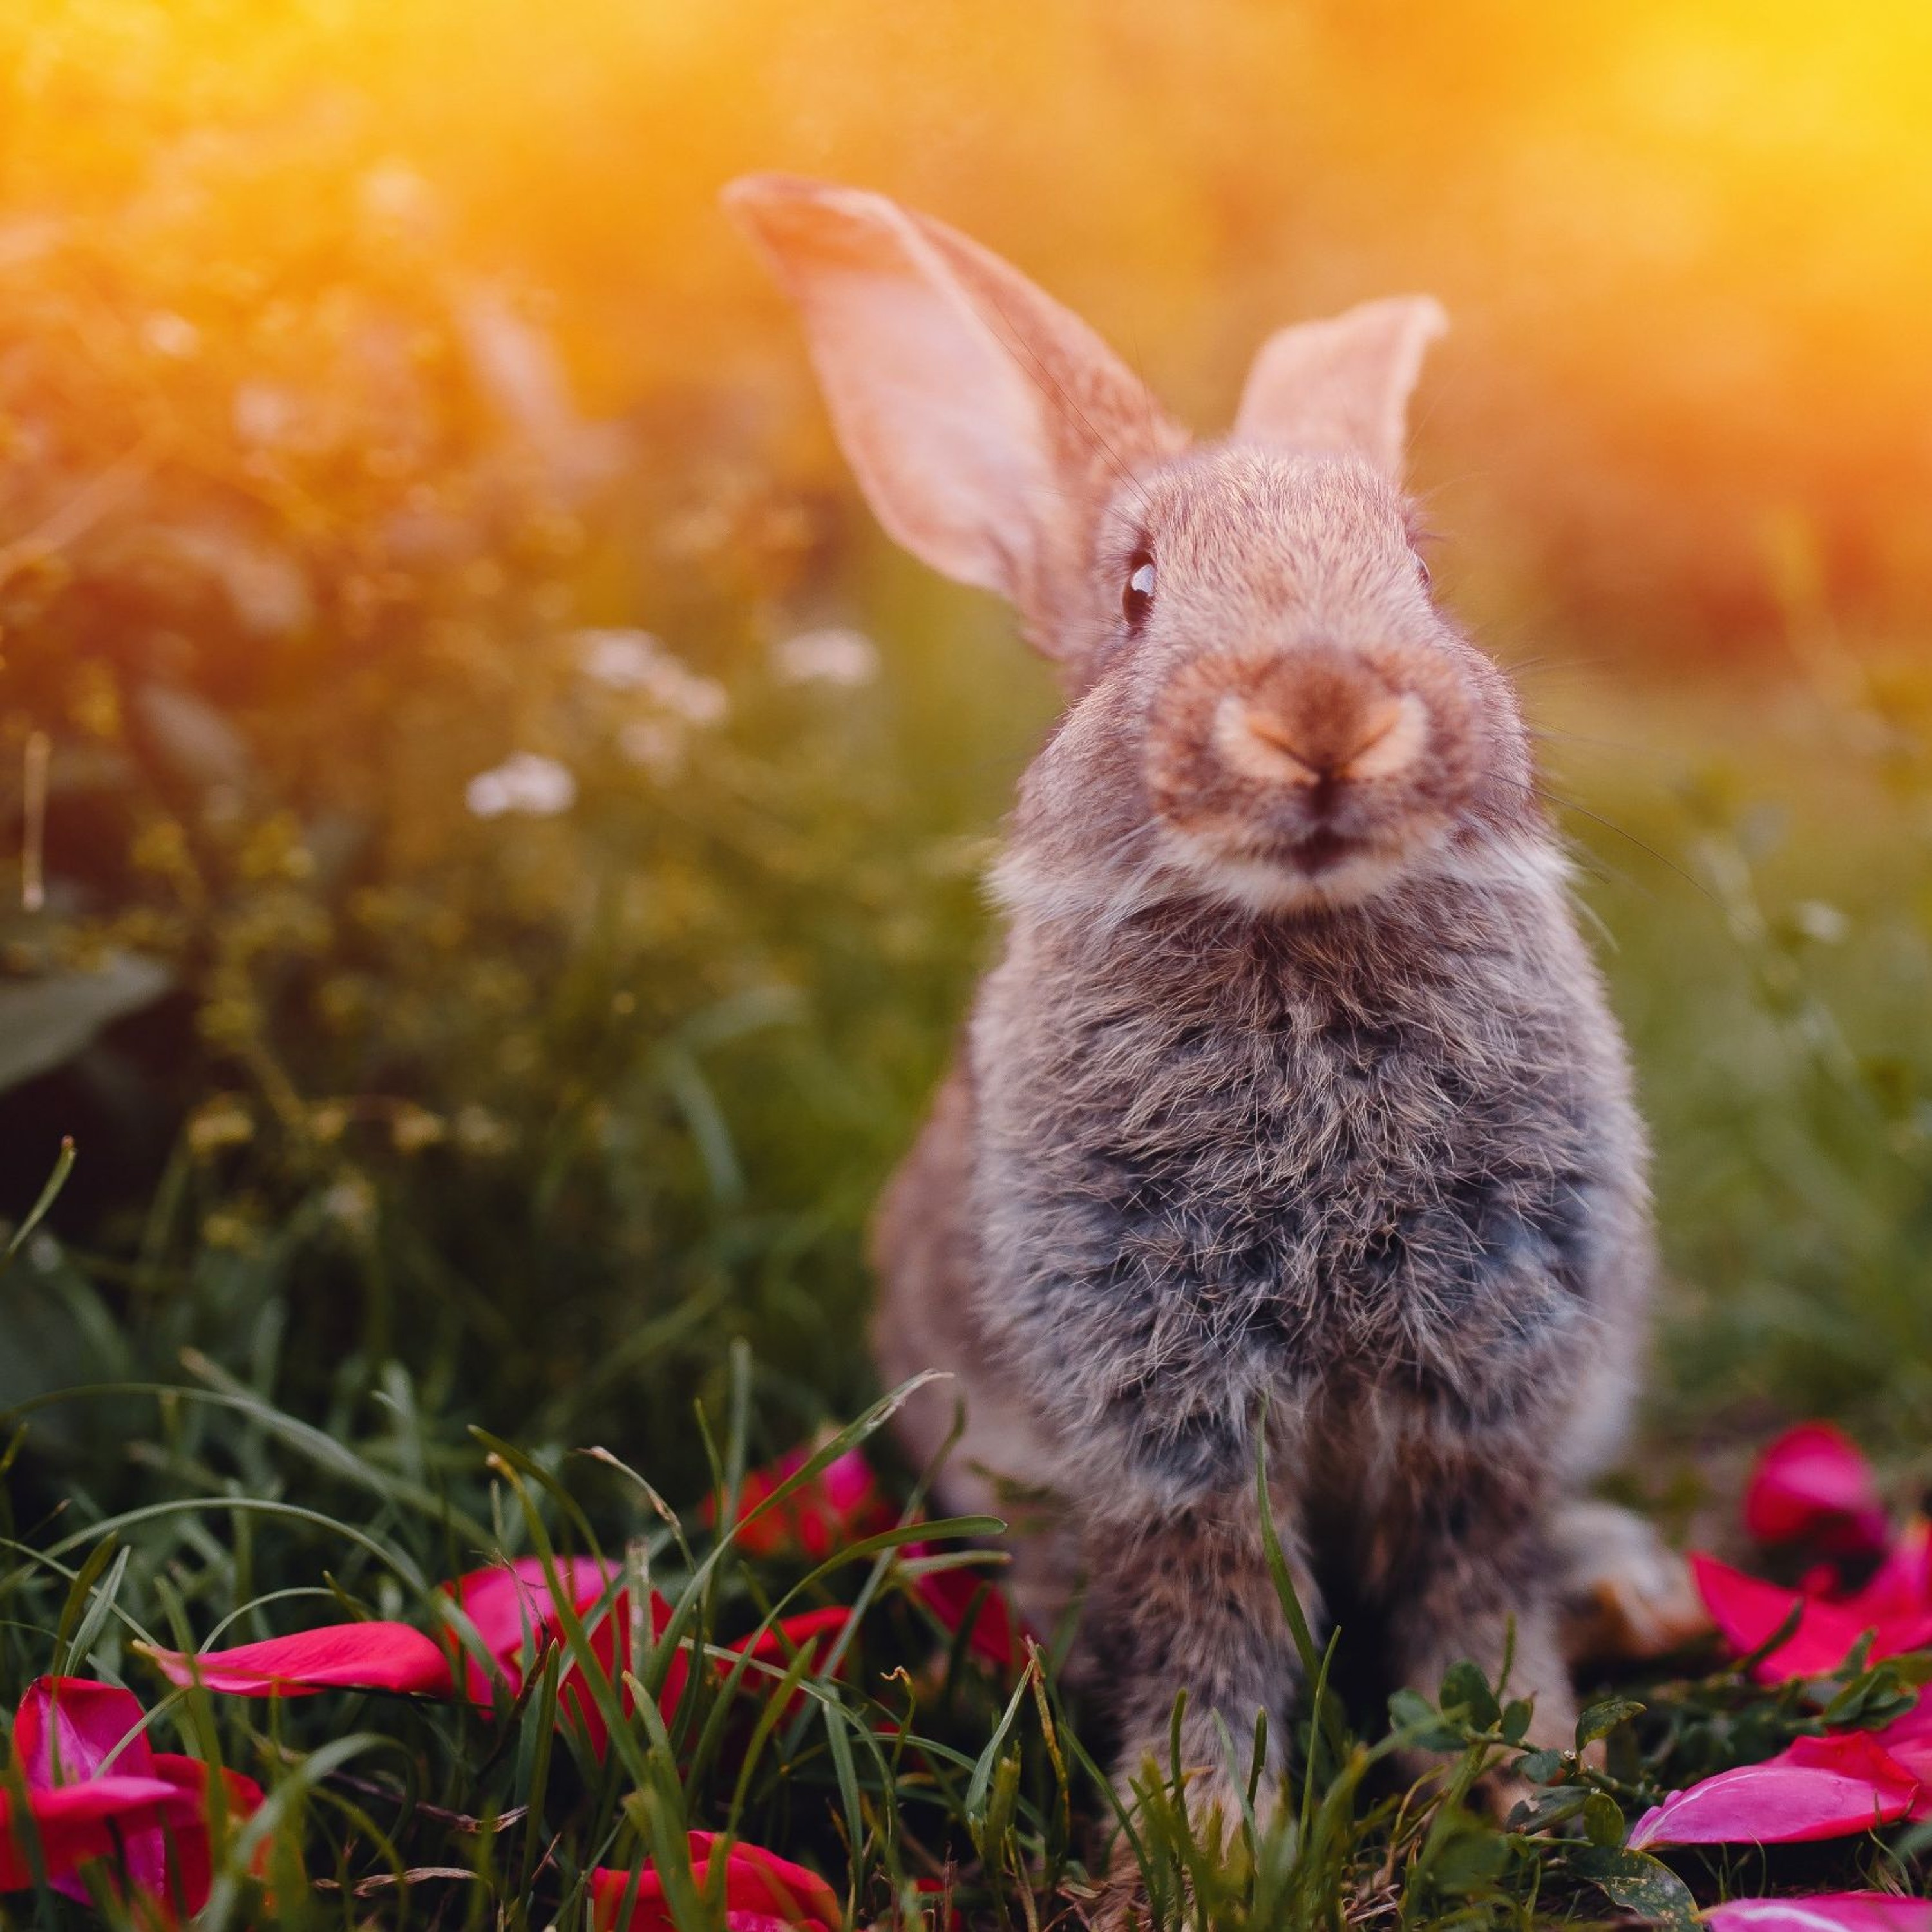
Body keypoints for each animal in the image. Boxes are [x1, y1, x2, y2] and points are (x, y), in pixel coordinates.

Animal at [726, 173, 1702, 1892]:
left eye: (1421, 569)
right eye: (1134, 592)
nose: (1323, 711)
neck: (1298, 956)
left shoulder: (1490, 1377)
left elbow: (1471, 1593)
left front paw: (1520, 1786)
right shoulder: (1162, 1413)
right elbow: (1217, 1617)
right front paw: (1204, 1841)